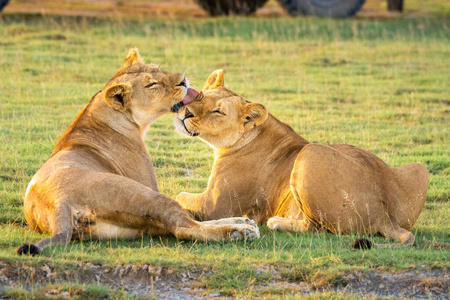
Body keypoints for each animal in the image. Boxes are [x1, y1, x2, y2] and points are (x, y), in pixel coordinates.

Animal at [175, 69, 428, 247]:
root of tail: (384, 215)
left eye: (218, 111)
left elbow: (180, 196)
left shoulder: (216, 206)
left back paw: (276, 223)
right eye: (201, 97)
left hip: (309, 153)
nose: (185, 113)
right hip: (419, 168)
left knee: (316, 228)